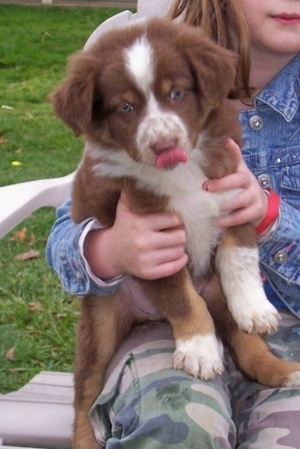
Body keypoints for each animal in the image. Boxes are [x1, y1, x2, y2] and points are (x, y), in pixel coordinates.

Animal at [50, 17, 300, 448]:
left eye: (177, 93)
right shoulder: (152, 238)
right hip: (100, 326)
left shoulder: (234, 194)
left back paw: (283, 370)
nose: (164, 144)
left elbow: (239, 259)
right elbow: (182, 298)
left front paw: (255, 308)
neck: (181, 172)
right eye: (126, 107)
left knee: (249, 349)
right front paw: (199, 348)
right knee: (85, 395)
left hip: (216, 295)